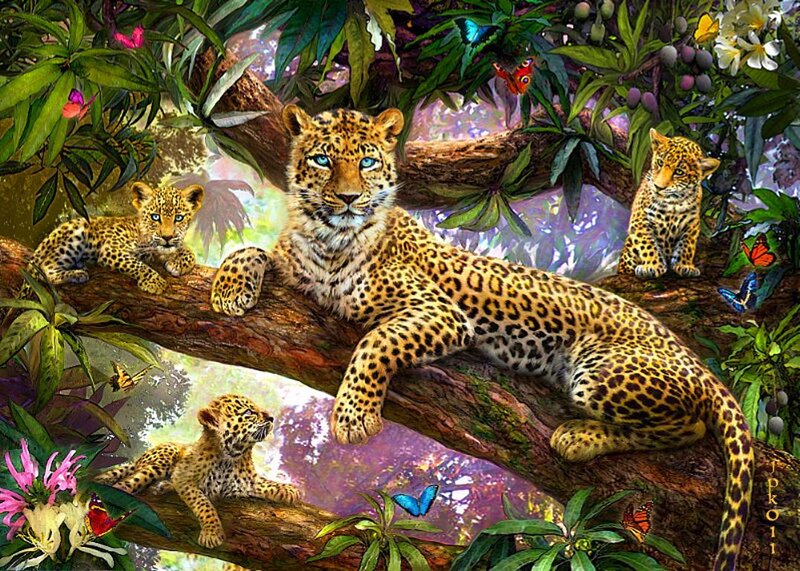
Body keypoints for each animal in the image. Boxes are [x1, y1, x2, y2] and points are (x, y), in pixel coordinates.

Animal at [26, 181, 204, 295]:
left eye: (179, 218)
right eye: (155, 217)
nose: (167, 236)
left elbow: (186, 250)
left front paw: (178, 263)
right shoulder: (111, 249)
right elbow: (137, 264)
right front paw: (155, 282)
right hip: (76, 233)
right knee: (47, 269)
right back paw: (77, 274)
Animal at [94, 394, 301, 548]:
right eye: (250, 412)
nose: (271, 417)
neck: (231, 455)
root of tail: (140, 458)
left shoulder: (246, 483)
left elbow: (267, 483)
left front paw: (290, 490)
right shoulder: (185, 478)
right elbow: (203, 504)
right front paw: (212, 533)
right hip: (160, 460)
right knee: (128, 482)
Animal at [618, 129, 720, 279]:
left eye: (679, 172)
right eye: (660, 162)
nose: (658, 187)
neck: (673, 203)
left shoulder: (692, 224)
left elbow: (687, 245)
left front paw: (685, 265)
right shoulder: (640, 220)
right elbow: (648, 244)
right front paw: (652, 266)